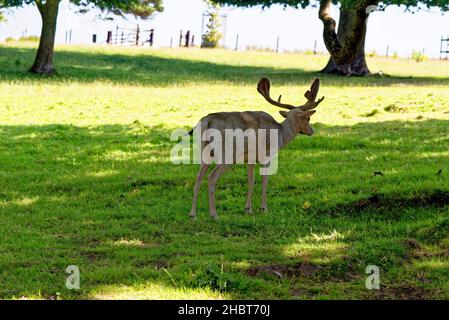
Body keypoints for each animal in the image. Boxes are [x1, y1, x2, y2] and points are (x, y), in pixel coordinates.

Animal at [187, 77, 324, 220]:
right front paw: (264, 208)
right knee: (212, 177)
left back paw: (192, 214)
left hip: (204, 152)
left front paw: (248, 209)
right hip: (228, 154)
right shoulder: (267, 154)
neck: (281, 134)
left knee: (198, 176)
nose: (312, 130)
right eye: (308, 118)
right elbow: (264, 179)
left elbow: (251, 180)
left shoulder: (250, 158)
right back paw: (214, 214)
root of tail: (206, 122)